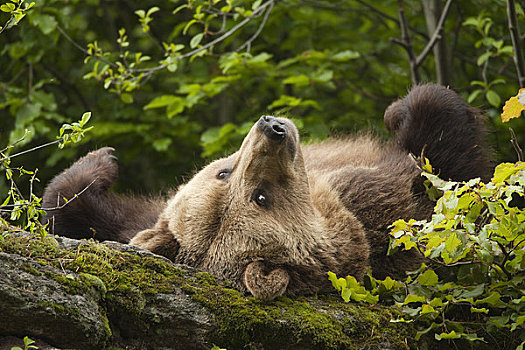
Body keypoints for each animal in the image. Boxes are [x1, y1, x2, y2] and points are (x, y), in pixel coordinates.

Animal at [42, 83, 492, 300]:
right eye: (261, 197)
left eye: (223, 173)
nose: (273, 128)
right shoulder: (379, 212)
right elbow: (439, 169)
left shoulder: (146, 223)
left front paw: (100, 157)